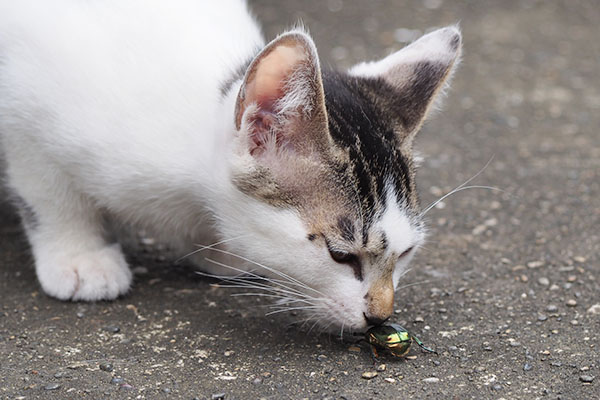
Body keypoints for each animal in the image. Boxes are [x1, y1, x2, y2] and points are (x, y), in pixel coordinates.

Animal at [0, 0, 462, 332]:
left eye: (407, 253)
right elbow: (49, 192)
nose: (381, 317)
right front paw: (79, 256)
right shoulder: (24, 110)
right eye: (340, 255)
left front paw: (219, 249)